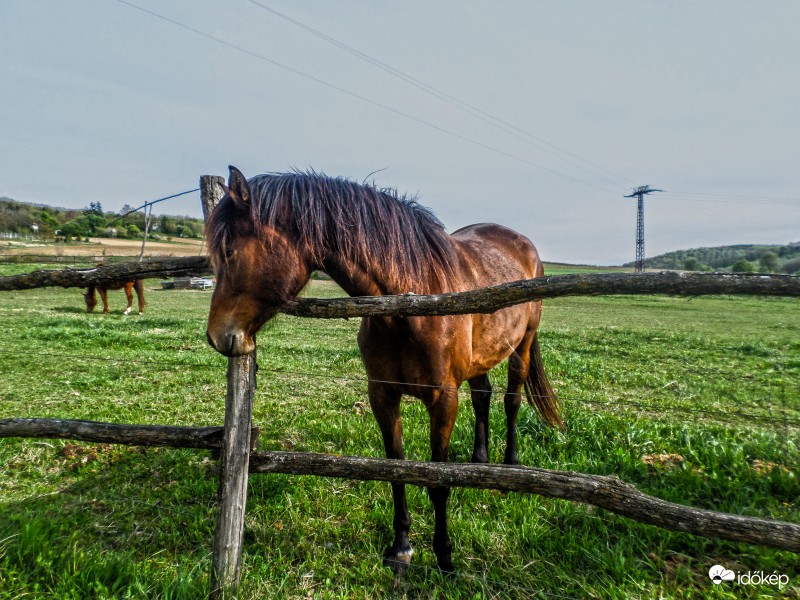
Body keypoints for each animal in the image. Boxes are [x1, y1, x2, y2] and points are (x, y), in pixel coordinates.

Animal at [206, 166, 564, 576]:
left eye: (229, 251)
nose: (216, 336)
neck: (409, 303)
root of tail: (522, 243)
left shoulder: (443, 400)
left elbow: (437, 481)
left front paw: (444, 556)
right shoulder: (382, 394)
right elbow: (395, 470)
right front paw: (402, 546)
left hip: (522, 345)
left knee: (511, 400)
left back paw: (509, 468)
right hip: (482, 357)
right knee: (483, 396)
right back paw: (479, 463)